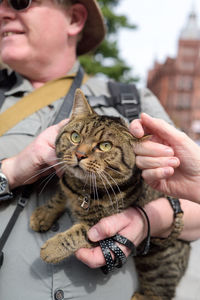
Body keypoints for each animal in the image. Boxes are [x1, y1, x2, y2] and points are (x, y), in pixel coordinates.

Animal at [30, 88, 191, 300]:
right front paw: (43, 215)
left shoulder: (101, 225)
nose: (79, 154)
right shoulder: (67, 185)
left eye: (104, 146)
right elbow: (59, 196)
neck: (83, 189)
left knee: (162, 292)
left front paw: (52, 249)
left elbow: (78, 233)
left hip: (157, 265)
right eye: (75, 137)